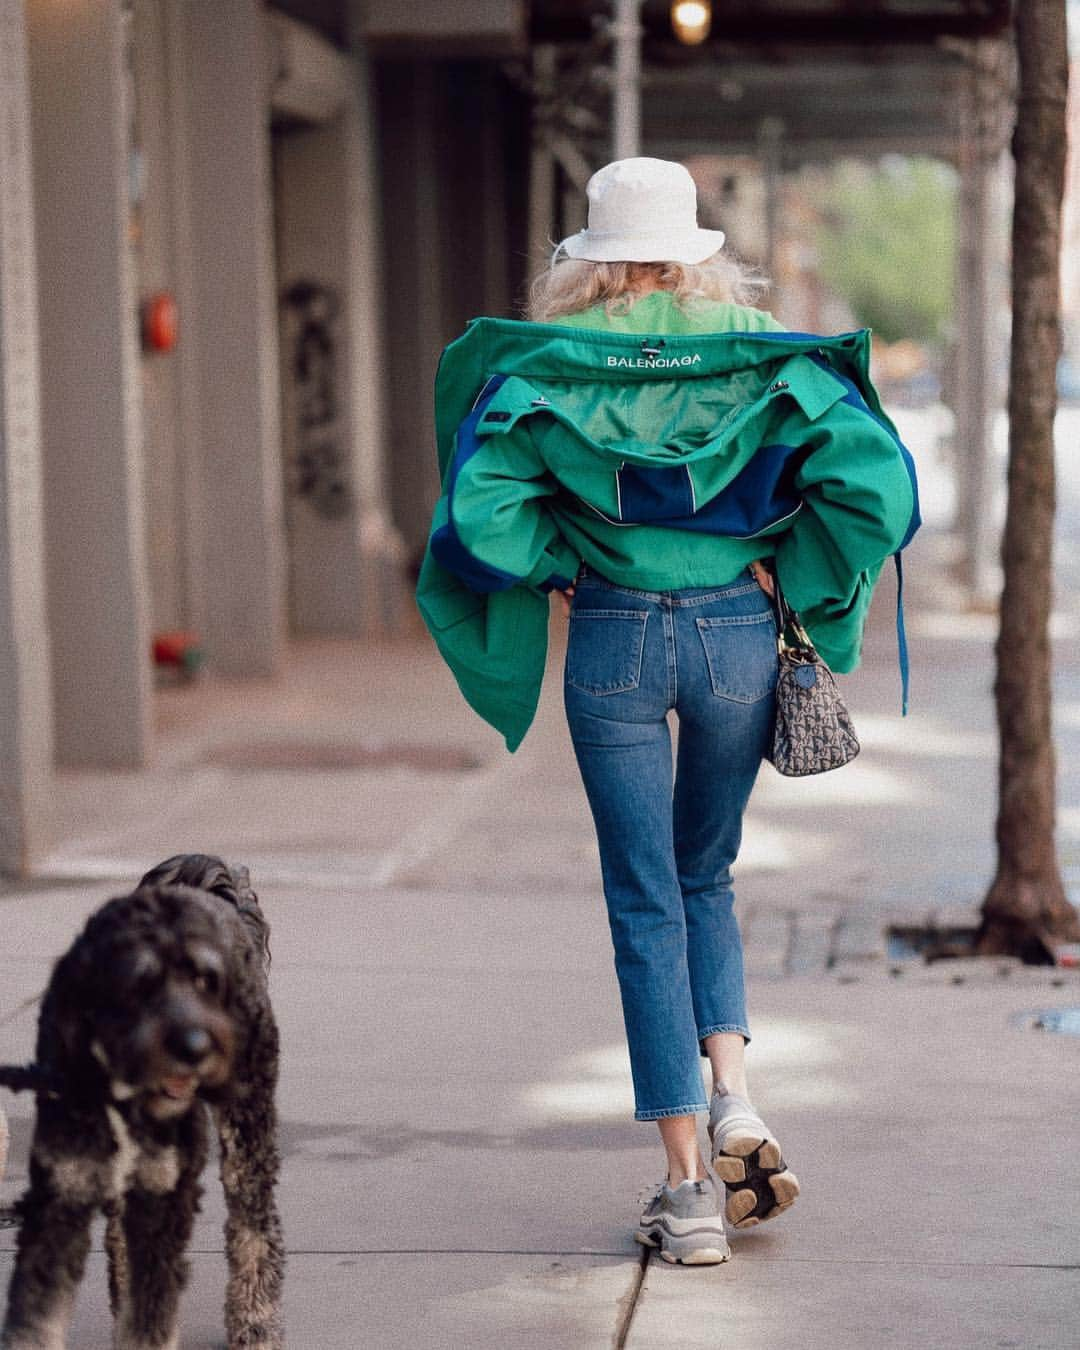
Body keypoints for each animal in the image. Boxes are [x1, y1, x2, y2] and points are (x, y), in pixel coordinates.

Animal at [0, 858, 282, 1344]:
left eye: (205, 982)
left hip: (248, 1120)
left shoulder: (163, 1196)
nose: (194, 1044)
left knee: (253, 1219)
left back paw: (255, 1323)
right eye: (136, 985)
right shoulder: (64, 1187)